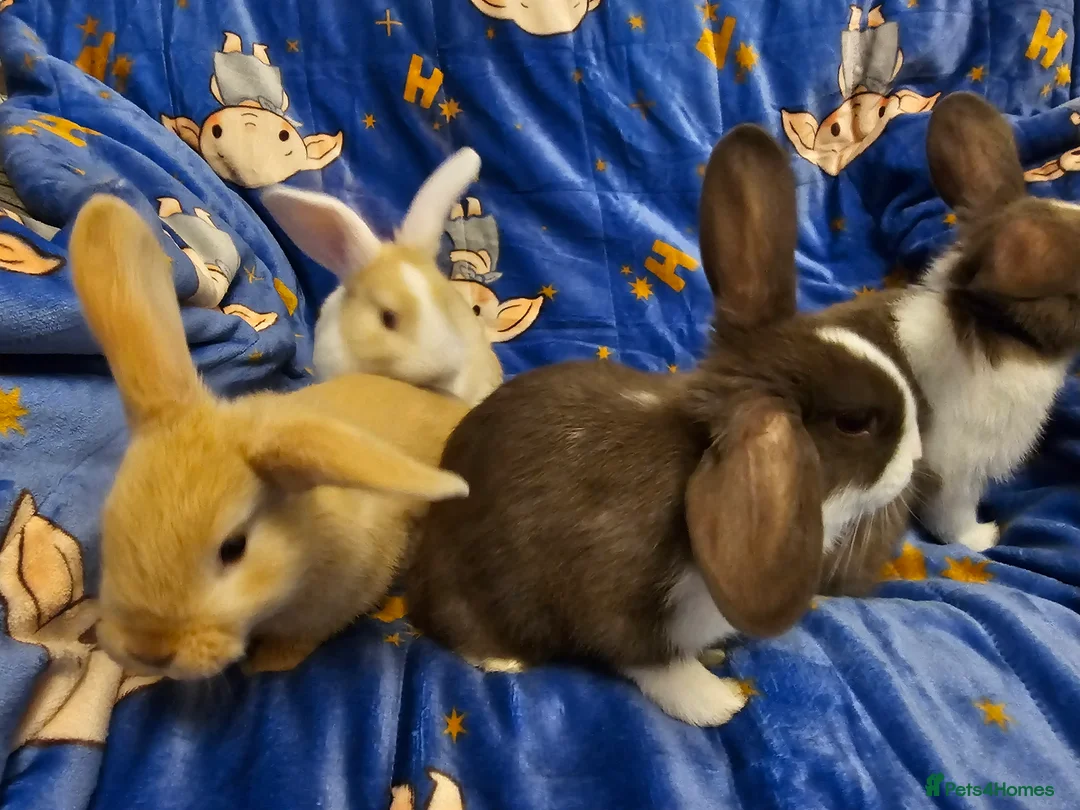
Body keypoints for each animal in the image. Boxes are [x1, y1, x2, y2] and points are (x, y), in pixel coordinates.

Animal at [406, 124, 923, 727]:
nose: (916, 457)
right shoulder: (620, 604)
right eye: (854, 422)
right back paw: (502, 659)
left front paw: (716, 658)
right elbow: (657, 665)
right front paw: (718, 702)